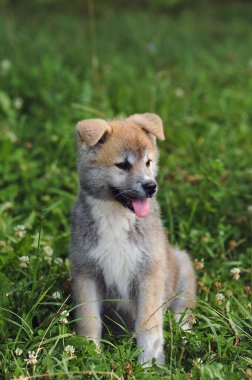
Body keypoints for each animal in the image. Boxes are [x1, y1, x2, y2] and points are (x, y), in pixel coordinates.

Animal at [70, 113, 196, 366]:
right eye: (123, 165)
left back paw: (185, 334)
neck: (116, 217)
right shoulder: (86, 274)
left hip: (184, 267)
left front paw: (149, 364)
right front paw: (91, 359)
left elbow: (148, 325)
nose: (151, 186)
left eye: (148, 162)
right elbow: (89, 322)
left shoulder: (149, 273)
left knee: (184, 311)